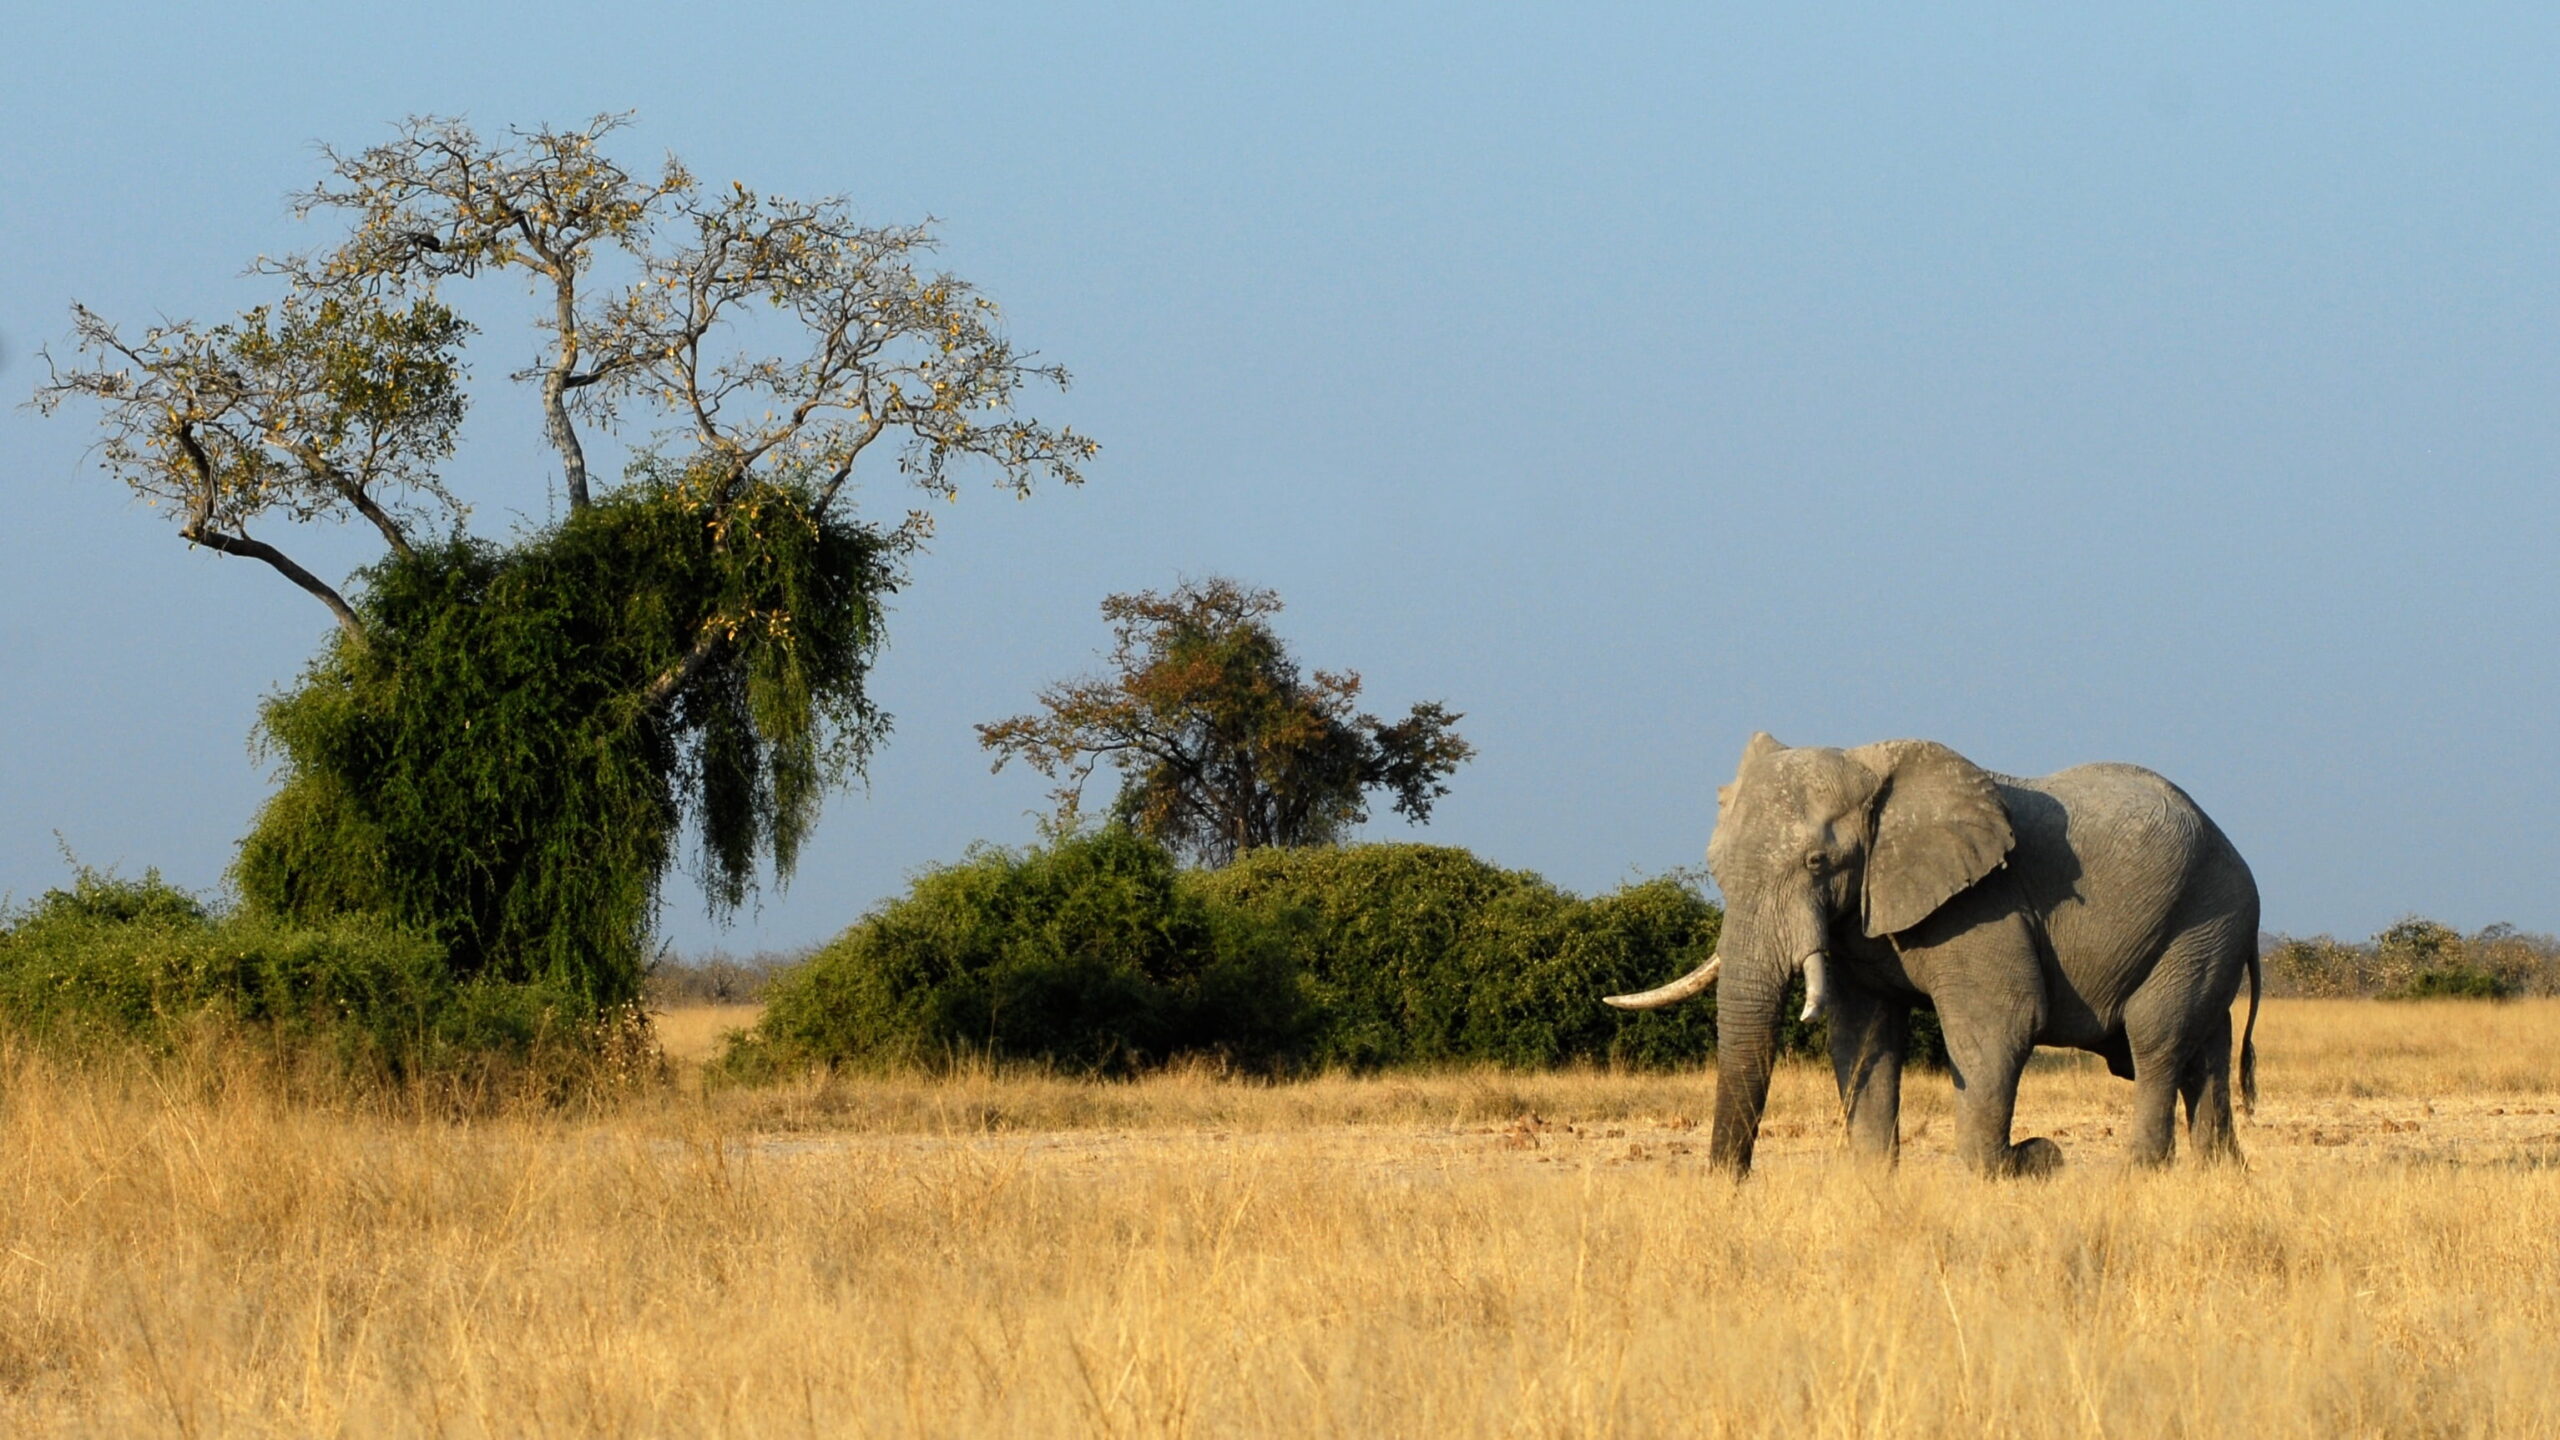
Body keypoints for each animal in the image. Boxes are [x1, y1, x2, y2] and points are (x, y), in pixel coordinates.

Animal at [1607, 732, 2273, 1173]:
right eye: (1715, 867)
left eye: (1818, 863)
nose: (1731, 1183)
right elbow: (1863, 1037)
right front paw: (1875, 1182)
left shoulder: (1983, 904)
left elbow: (2000, 1025)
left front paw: (2016, 1167)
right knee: (2203, 1051)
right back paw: (2220, 1174)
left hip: (2206, 916)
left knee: (2156, 1041)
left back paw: (2143, 1174)